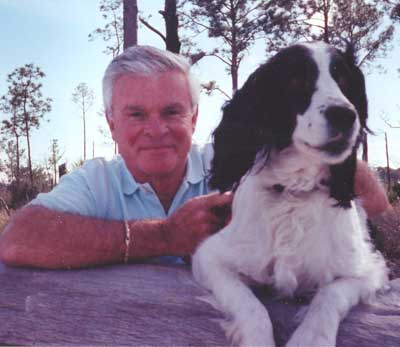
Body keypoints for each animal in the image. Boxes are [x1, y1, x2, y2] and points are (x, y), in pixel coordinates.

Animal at [193, 42, 388, 347]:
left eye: (344, 80)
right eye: (296, 79)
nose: (345, 115)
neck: (295, 192)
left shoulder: (369, 269)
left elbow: (329, 295)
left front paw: (310, 337)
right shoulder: (210, 258)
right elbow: (252, 307)